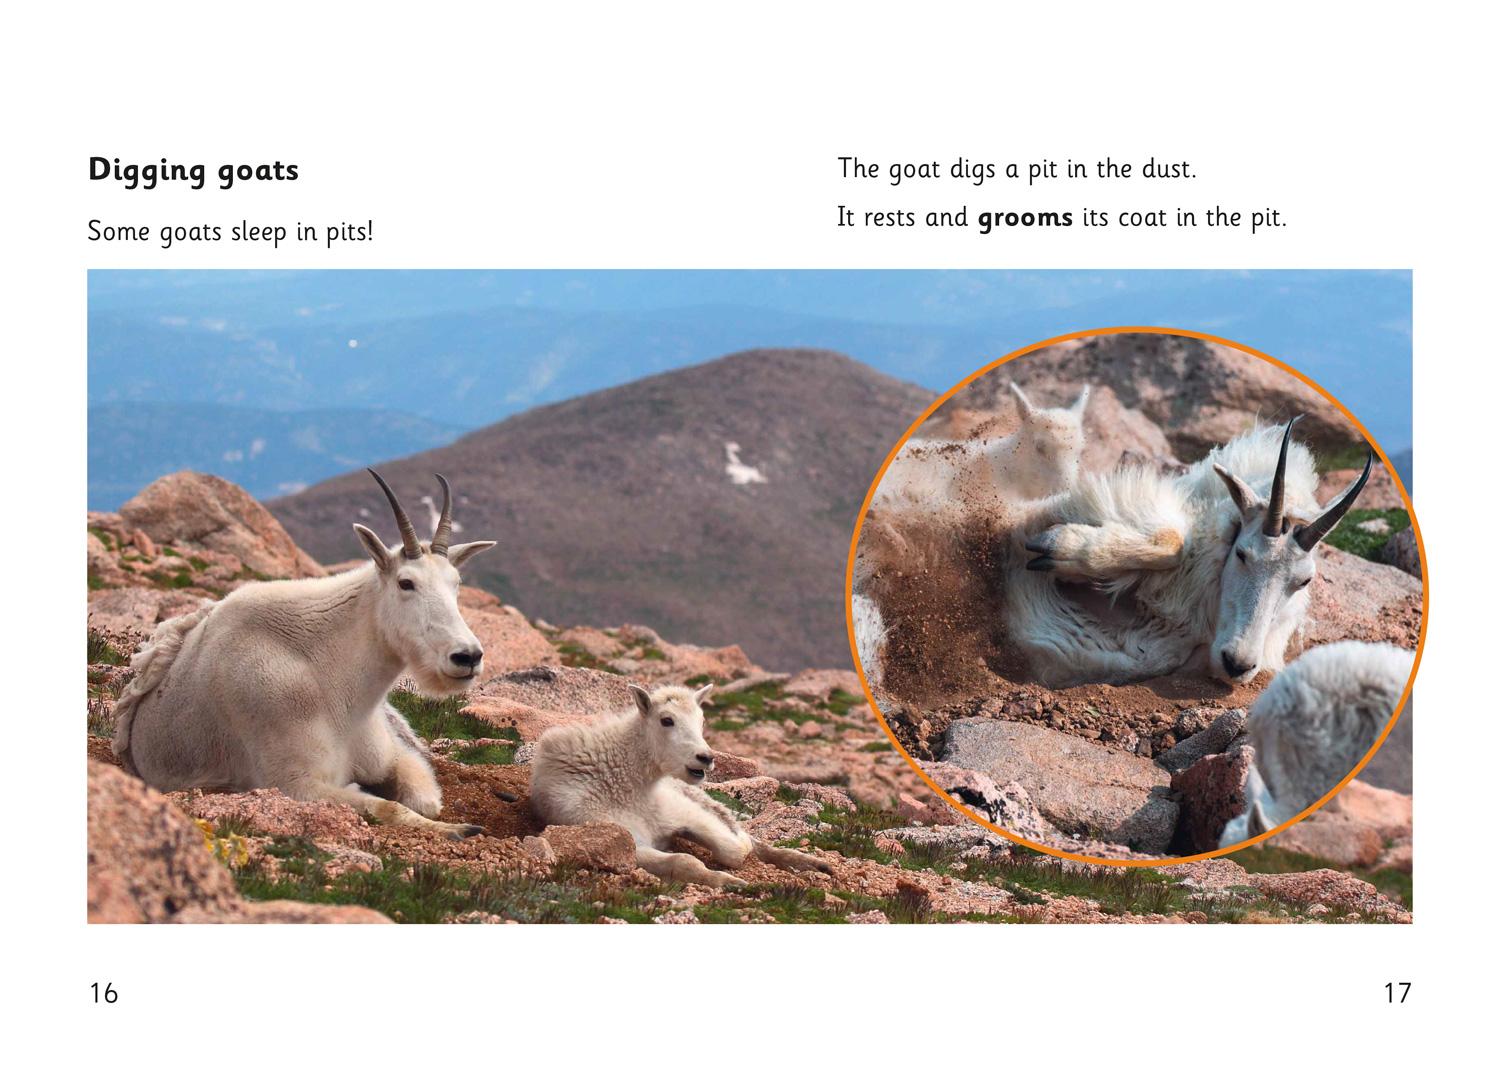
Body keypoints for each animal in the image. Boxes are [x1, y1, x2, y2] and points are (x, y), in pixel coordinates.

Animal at [112, 470, 496, 839]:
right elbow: (389, 807)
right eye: (406, 583)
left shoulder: (393, 757)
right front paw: (460, 829)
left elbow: (423, 800)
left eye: (456, 583)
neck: (338, 683)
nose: (467, 657)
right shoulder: (294, 783)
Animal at [529, 683, 833, 887]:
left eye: (702, 720)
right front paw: (730, 882)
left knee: (750, 836)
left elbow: (734, 849)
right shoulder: (619, 838)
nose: (706, 758)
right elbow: (684, 860)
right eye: (667, 720)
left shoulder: (684, 813)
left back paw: (814, 863)